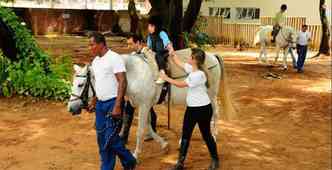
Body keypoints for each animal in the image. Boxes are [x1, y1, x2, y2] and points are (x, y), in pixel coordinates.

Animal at [67, 47, 223, 161]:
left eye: (80, 85)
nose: (71, 108)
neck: (133, 73)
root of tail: (212, 56)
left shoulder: (144, 105)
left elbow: (141, 130)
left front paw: (136, 154)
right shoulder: (143, 105)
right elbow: (148, 126)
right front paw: (164, 144)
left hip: (211, 94)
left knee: (215, 112)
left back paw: (214, 135)